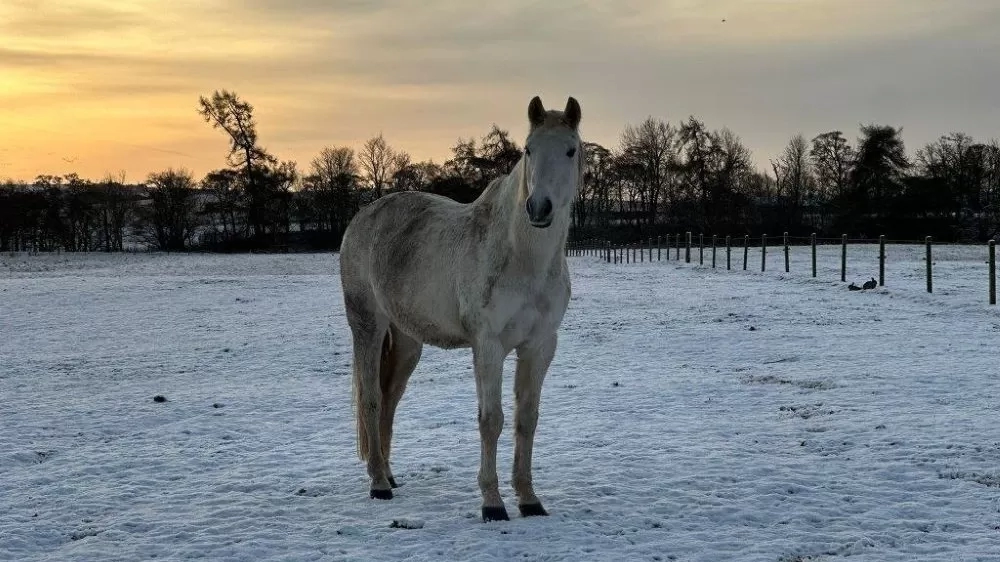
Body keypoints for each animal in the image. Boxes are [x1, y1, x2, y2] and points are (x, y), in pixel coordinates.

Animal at [338, 94, 584, 520]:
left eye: (570, 150)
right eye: (529, 149)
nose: (539, 208)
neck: (523, 259)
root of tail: (362, 218)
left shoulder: (539, 347)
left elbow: (526, 419)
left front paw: (529, 499)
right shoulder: (488, 347)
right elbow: (492, 420)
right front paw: (493, 503)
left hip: (406, 341)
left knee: (389, 399)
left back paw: (390, 475)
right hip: (367, 326)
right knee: (371, 398)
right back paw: (379, 484)